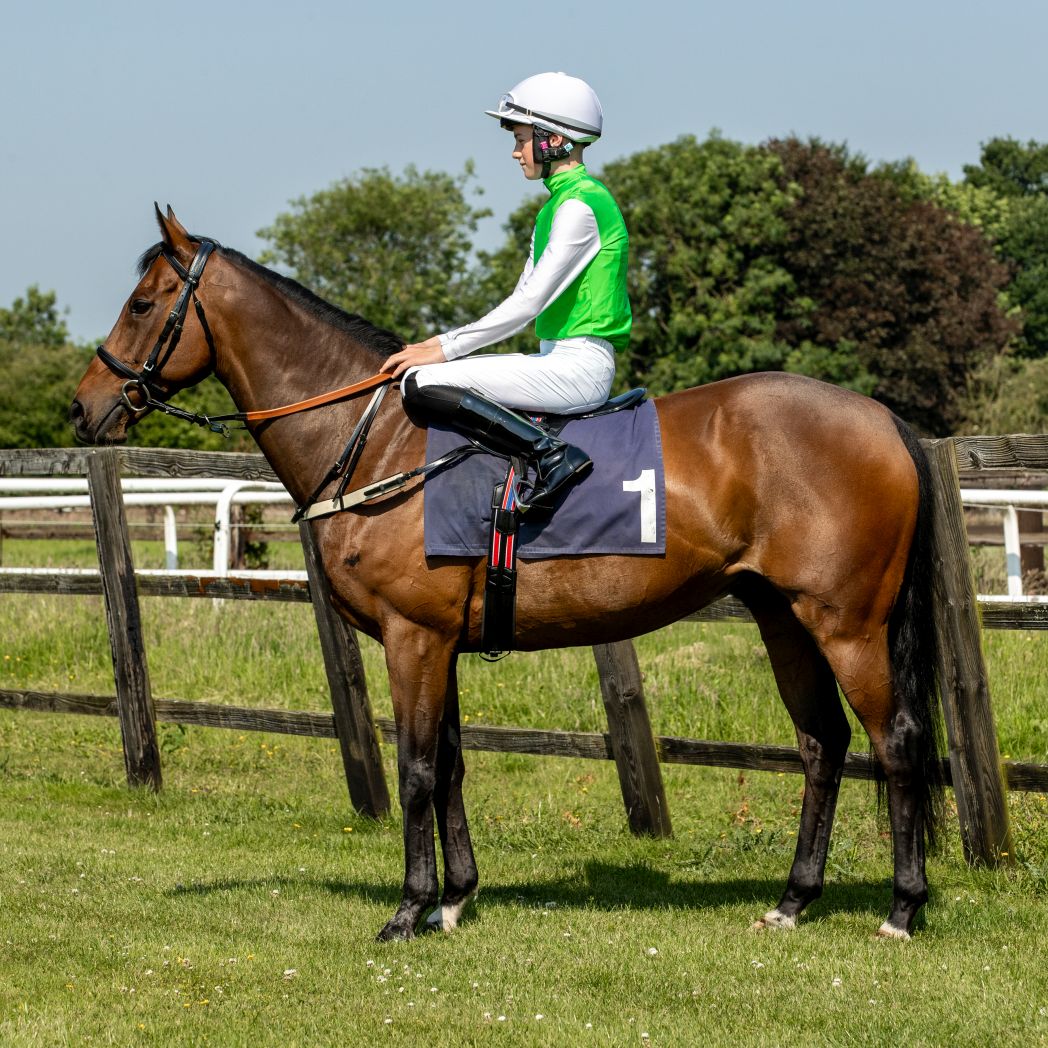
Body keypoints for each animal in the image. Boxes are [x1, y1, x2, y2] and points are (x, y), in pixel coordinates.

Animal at [71, 207, 943, 942]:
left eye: (142, 305)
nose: (84, 407)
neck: (381, 441)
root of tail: (881, 418)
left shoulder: (412, 639)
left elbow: (417, 770)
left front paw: (408, 910)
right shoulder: (438, 645)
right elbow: (452, 766)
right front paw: (454, 900)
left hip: (846, 625)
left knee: (895, 741)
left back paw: (902, 909)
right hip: (781, 618)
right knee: (823, 744)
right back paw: (793, 900)